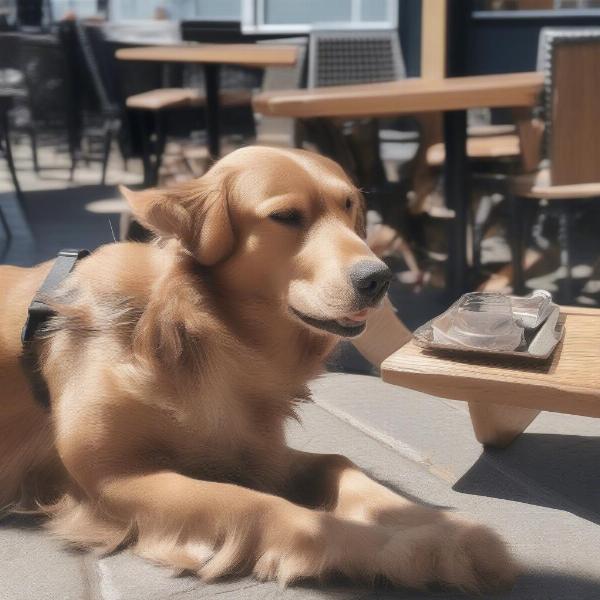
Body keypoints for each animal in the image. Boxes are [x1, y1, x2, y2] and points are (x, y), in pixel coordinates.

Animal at [0, 149, 516, 592]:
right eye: (286, 217)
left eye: (349, 206)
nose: (380, 279)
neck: (191, 328)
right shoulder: (112, 477)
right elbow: (260, 506)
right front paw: (394, 549)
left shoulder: (254, 449)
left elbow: (341, 465)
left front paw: (436, 530)